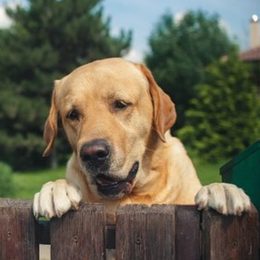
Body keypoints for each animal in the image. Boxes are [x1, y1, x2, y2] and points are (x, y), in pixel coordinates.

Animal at [33, 58, 250, 220]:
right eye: (72, 114)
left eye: (120, 104)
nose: (92, 154)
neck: (139, 193)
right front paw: (55, 188)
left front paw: (222, 189)